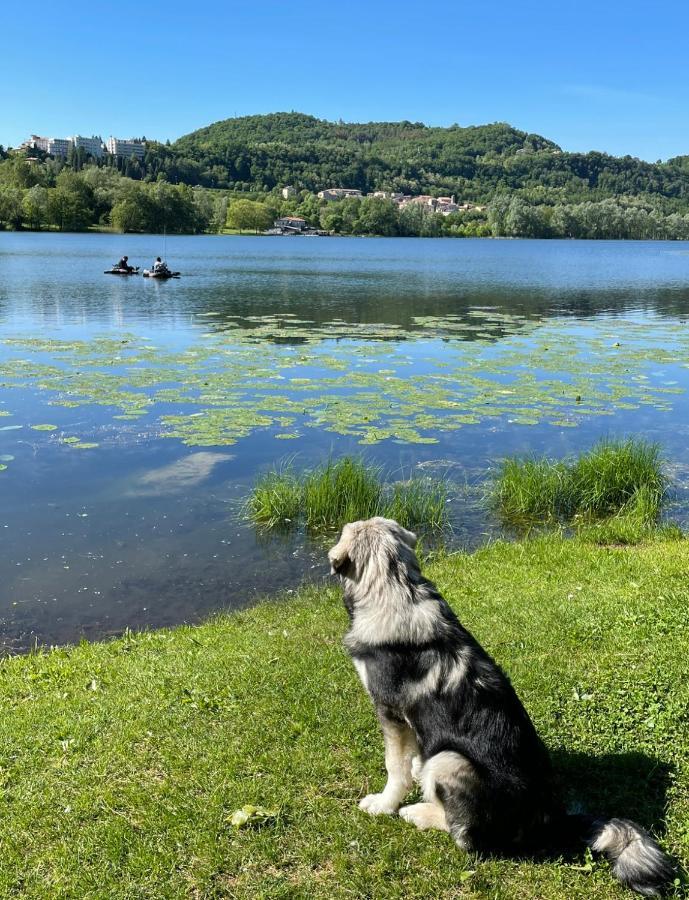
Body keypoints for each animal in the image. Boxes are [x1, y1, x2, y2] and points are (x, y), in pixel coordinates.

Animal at [328, 516, 672, 896]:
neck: (396, 589)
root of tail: (553, 821)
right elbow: (414, 752)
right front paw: (414, 767)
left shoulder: (390, 714)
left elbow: (395, 768)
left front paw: (383, 804)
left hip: (448, 761)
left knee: (467, 837)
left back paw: (419, 813)